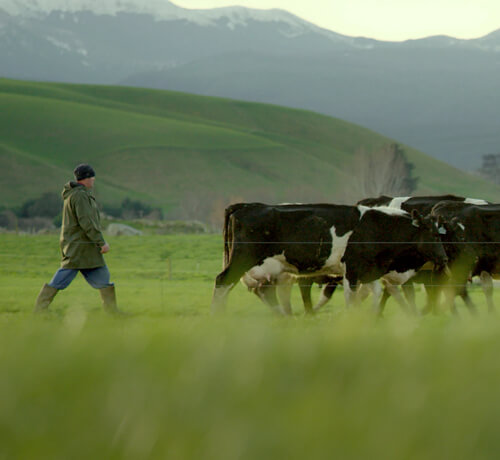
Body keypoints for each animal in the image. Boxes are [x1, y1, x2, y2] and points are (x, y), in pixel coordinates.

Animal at [212, 203, 450, 314]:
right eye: (433, 234)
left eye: (441, 234)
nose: (444, 257)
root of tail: (245, 205)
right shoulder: (352, 270)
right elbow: (352, 299)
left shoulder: (371, 271)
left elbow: (375, 293)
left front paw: (374, 317)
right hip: (243, 259)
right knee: (223, 281)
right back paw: (218, 316)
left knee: (261, 290)